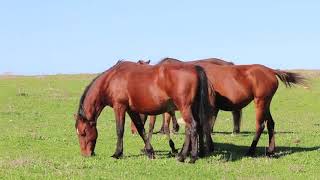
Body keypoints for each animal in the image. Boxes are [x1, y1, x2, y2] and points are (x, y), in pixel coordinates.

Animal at [74, 59, 215, 162]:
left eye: (83, 132)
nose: (85, 154)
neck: (111, 79)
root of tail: (195, 68)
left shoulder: (119, 107)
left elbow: (120, 130)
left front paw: (117, 153)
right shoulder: (131, 110)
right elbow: (141, 129)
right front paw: (149, 151)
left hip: (184, 107)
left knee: (192, 127)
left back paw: (190, 157)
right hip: (192, 108)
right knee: (194, 128)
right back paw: (188, 154)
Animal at [142, 57, 304, 156]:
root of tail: (271, 70)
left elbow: (202, 126)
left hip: (260, 102)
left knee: (260, 125)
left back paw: (251, 150)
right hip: (266, 103)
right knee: (270, 123)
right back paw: (270, 150)